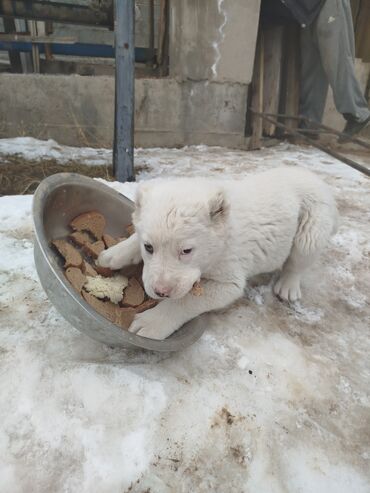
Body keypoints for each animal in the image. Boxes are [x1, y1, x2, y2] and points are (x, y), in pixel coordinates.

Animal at [97, 167, 338, 340]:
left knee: (300, 258)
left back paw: (287, 287)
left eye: (187, 251)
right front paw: (112, 255)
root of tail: (316, 179)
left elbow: (186, 301)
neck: (220, 239)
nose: (161, 291)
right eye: (148, 247)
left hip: (313, 222)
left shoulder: (228, 276)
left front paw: (151, 323)